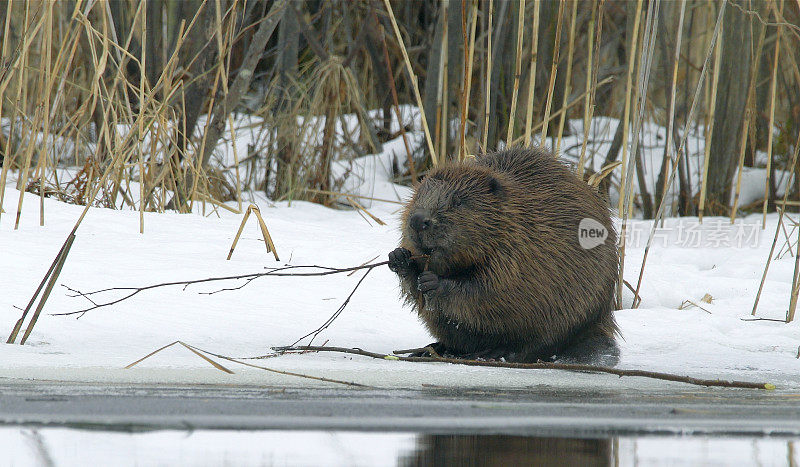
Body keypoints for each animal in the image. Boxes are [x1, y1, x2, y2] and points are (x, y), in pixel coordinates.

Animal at [390, 146, 620, 366]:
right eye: (418, 195)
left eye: (458, 201)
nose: (418, 220)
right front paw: (399, 258)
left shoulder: (520, 251)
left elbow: (488, 291)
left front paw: (433, 282)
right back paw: (429, 349)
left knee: (537, 344)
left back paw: (492, 352)